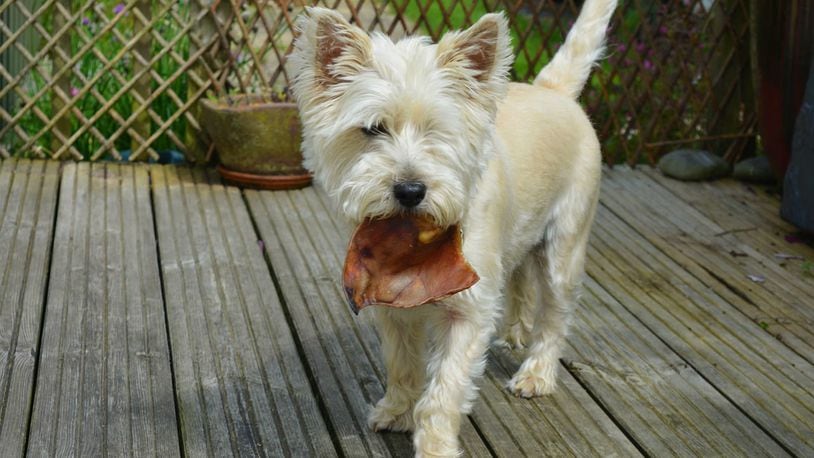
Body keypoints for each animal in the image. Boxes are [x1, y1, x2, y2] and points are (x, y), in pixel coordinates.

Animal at [294, 1, 620, 454]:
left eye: (438, 130)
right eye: (373, 128)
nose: (410, 190)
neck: (416, 242)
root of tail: (553, 91)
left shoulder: (469, 311)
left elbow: (444, 389)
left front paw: (435, 446)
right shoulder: (392, 307)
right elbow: (402, 364)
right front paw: (397, 412)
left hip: (564, 246)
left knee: (554, 314)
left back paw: (536, 374)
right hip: (521, 236)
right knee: (521, 280)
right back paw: (515, 332)